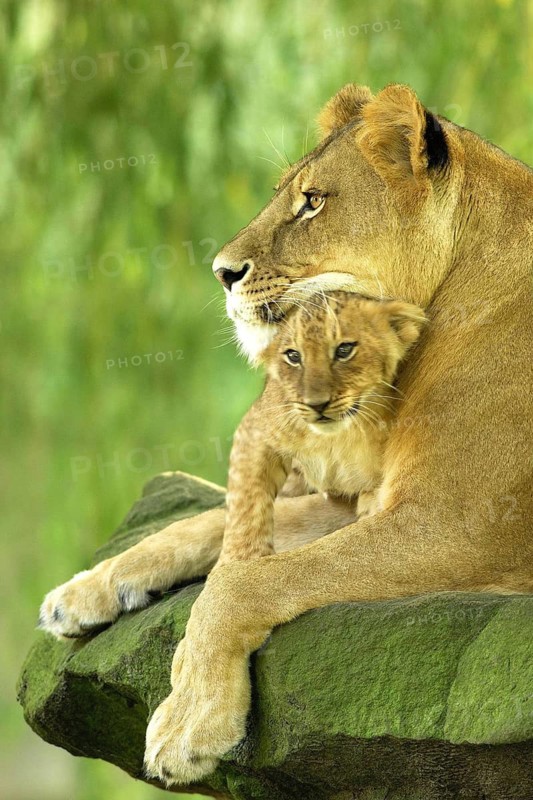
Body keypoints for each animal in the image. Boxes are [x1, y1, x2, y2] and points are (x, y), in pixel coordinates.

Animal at [217, 291, 426, 566]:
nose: (317, 405)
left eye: (344, 350)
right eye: (293, 356)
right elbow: (246, 500)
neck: (334, 439)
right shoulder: (257, 427)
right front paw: (239, 560)